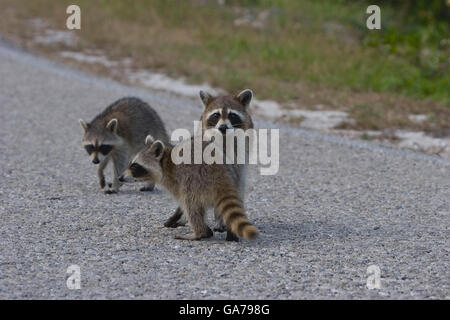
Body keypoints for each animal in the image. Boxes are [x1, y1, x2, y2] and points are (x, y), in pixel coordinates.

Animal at [120, 136, 260, 242]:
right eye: (130, 164)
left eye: (135, 166)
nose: (120, 178)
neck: (165, 161)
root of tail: (221, 174)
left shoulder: (176, 178)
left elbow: (183, 203)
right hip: (236, 178)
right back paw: (230, 232)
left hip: (196, 180)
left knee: (190, 204)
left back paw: (200, 232)